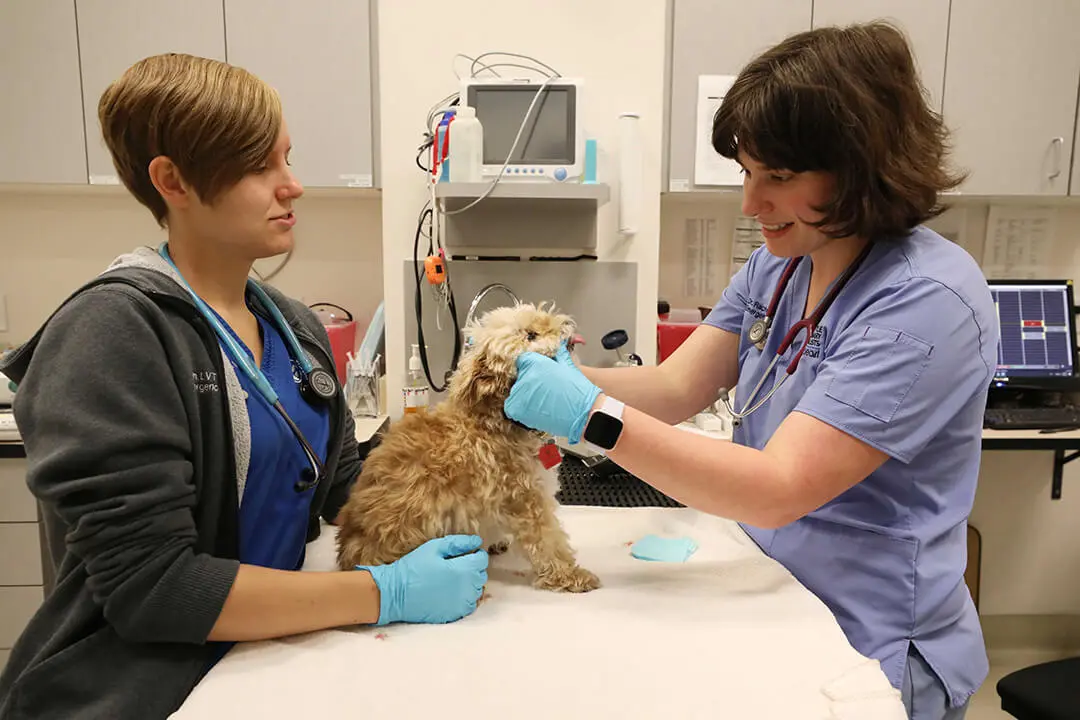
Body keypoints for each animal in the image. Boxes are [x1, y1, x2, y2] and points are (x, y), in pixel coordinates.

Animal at [334, 302, 600, 595]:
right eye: (530, 335)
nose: (568, 325)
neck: (496, 420)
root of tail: (350, 556)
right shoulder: (526, 500)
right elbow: (549, 542)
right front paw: (571, 575)